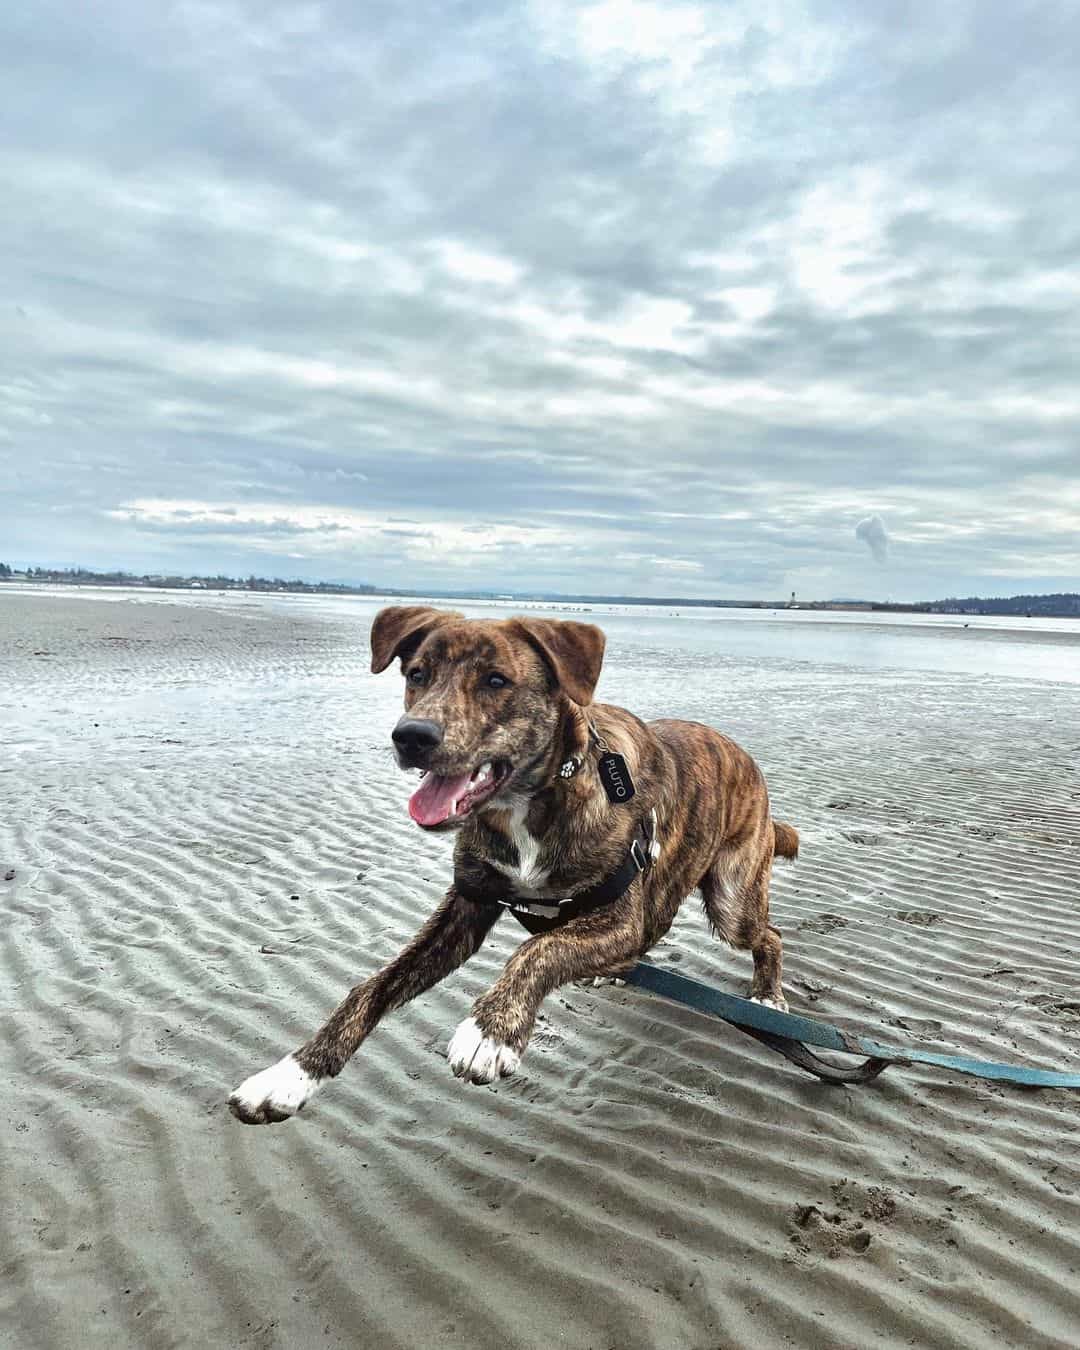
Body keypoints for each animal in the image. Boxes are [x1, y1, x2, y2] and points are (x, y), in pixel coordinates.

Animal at [228, 607, 799, 1123]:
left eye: (497, 680)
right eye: (417, 675)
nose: (411, 736)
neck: (529, 802)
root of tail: (744, 758)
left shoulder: (619, 916)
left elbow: (538, 949)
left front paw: (490, 1031)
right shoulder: (467, 905)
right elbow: (370, 988)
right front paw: (290, 1075)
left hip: (732, 898)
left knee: (766, 935)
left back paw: (767, 997)